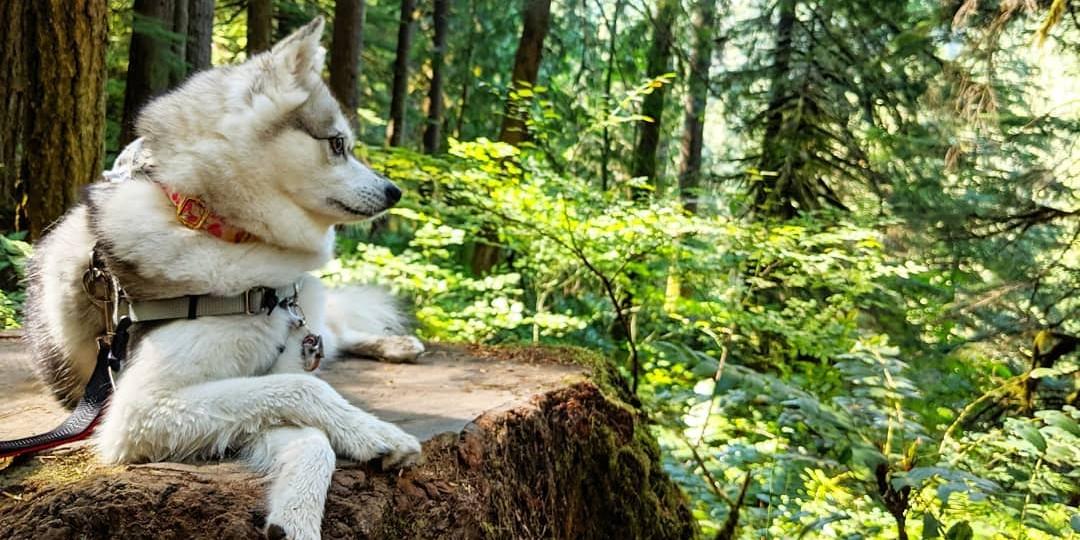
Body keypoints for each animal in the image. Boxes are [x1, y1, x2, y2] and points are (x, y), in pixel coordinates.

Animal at [22, 16, 425, 540]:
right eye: (337, 144)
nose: (395, 191)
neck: (219, 228)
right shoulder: (142, 410)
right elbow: (309, 406)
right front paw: (371, 435)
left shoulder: (252, 382)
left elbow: (307, 412)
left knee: (337, 333)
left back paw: (395, 345)